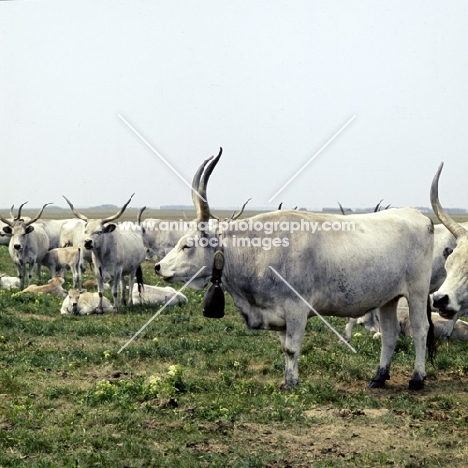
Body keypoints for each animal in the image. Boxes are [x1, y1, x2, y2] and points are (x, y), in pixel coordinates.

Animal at [156, 150, 436, 392]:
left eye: (187, 245)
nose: (159, 267)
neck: (258, 251)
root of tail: (417, 215)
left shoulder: (296, 309)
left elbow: (292, 348)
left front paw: (291, 383)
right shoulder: (279, 313)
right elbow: (284, 349)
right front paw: (286, 378)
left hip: (417, 293)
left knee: (420, 330)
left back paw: (417, 378)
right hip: (388, 298)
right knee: (389, 335)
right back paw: (379, 377)